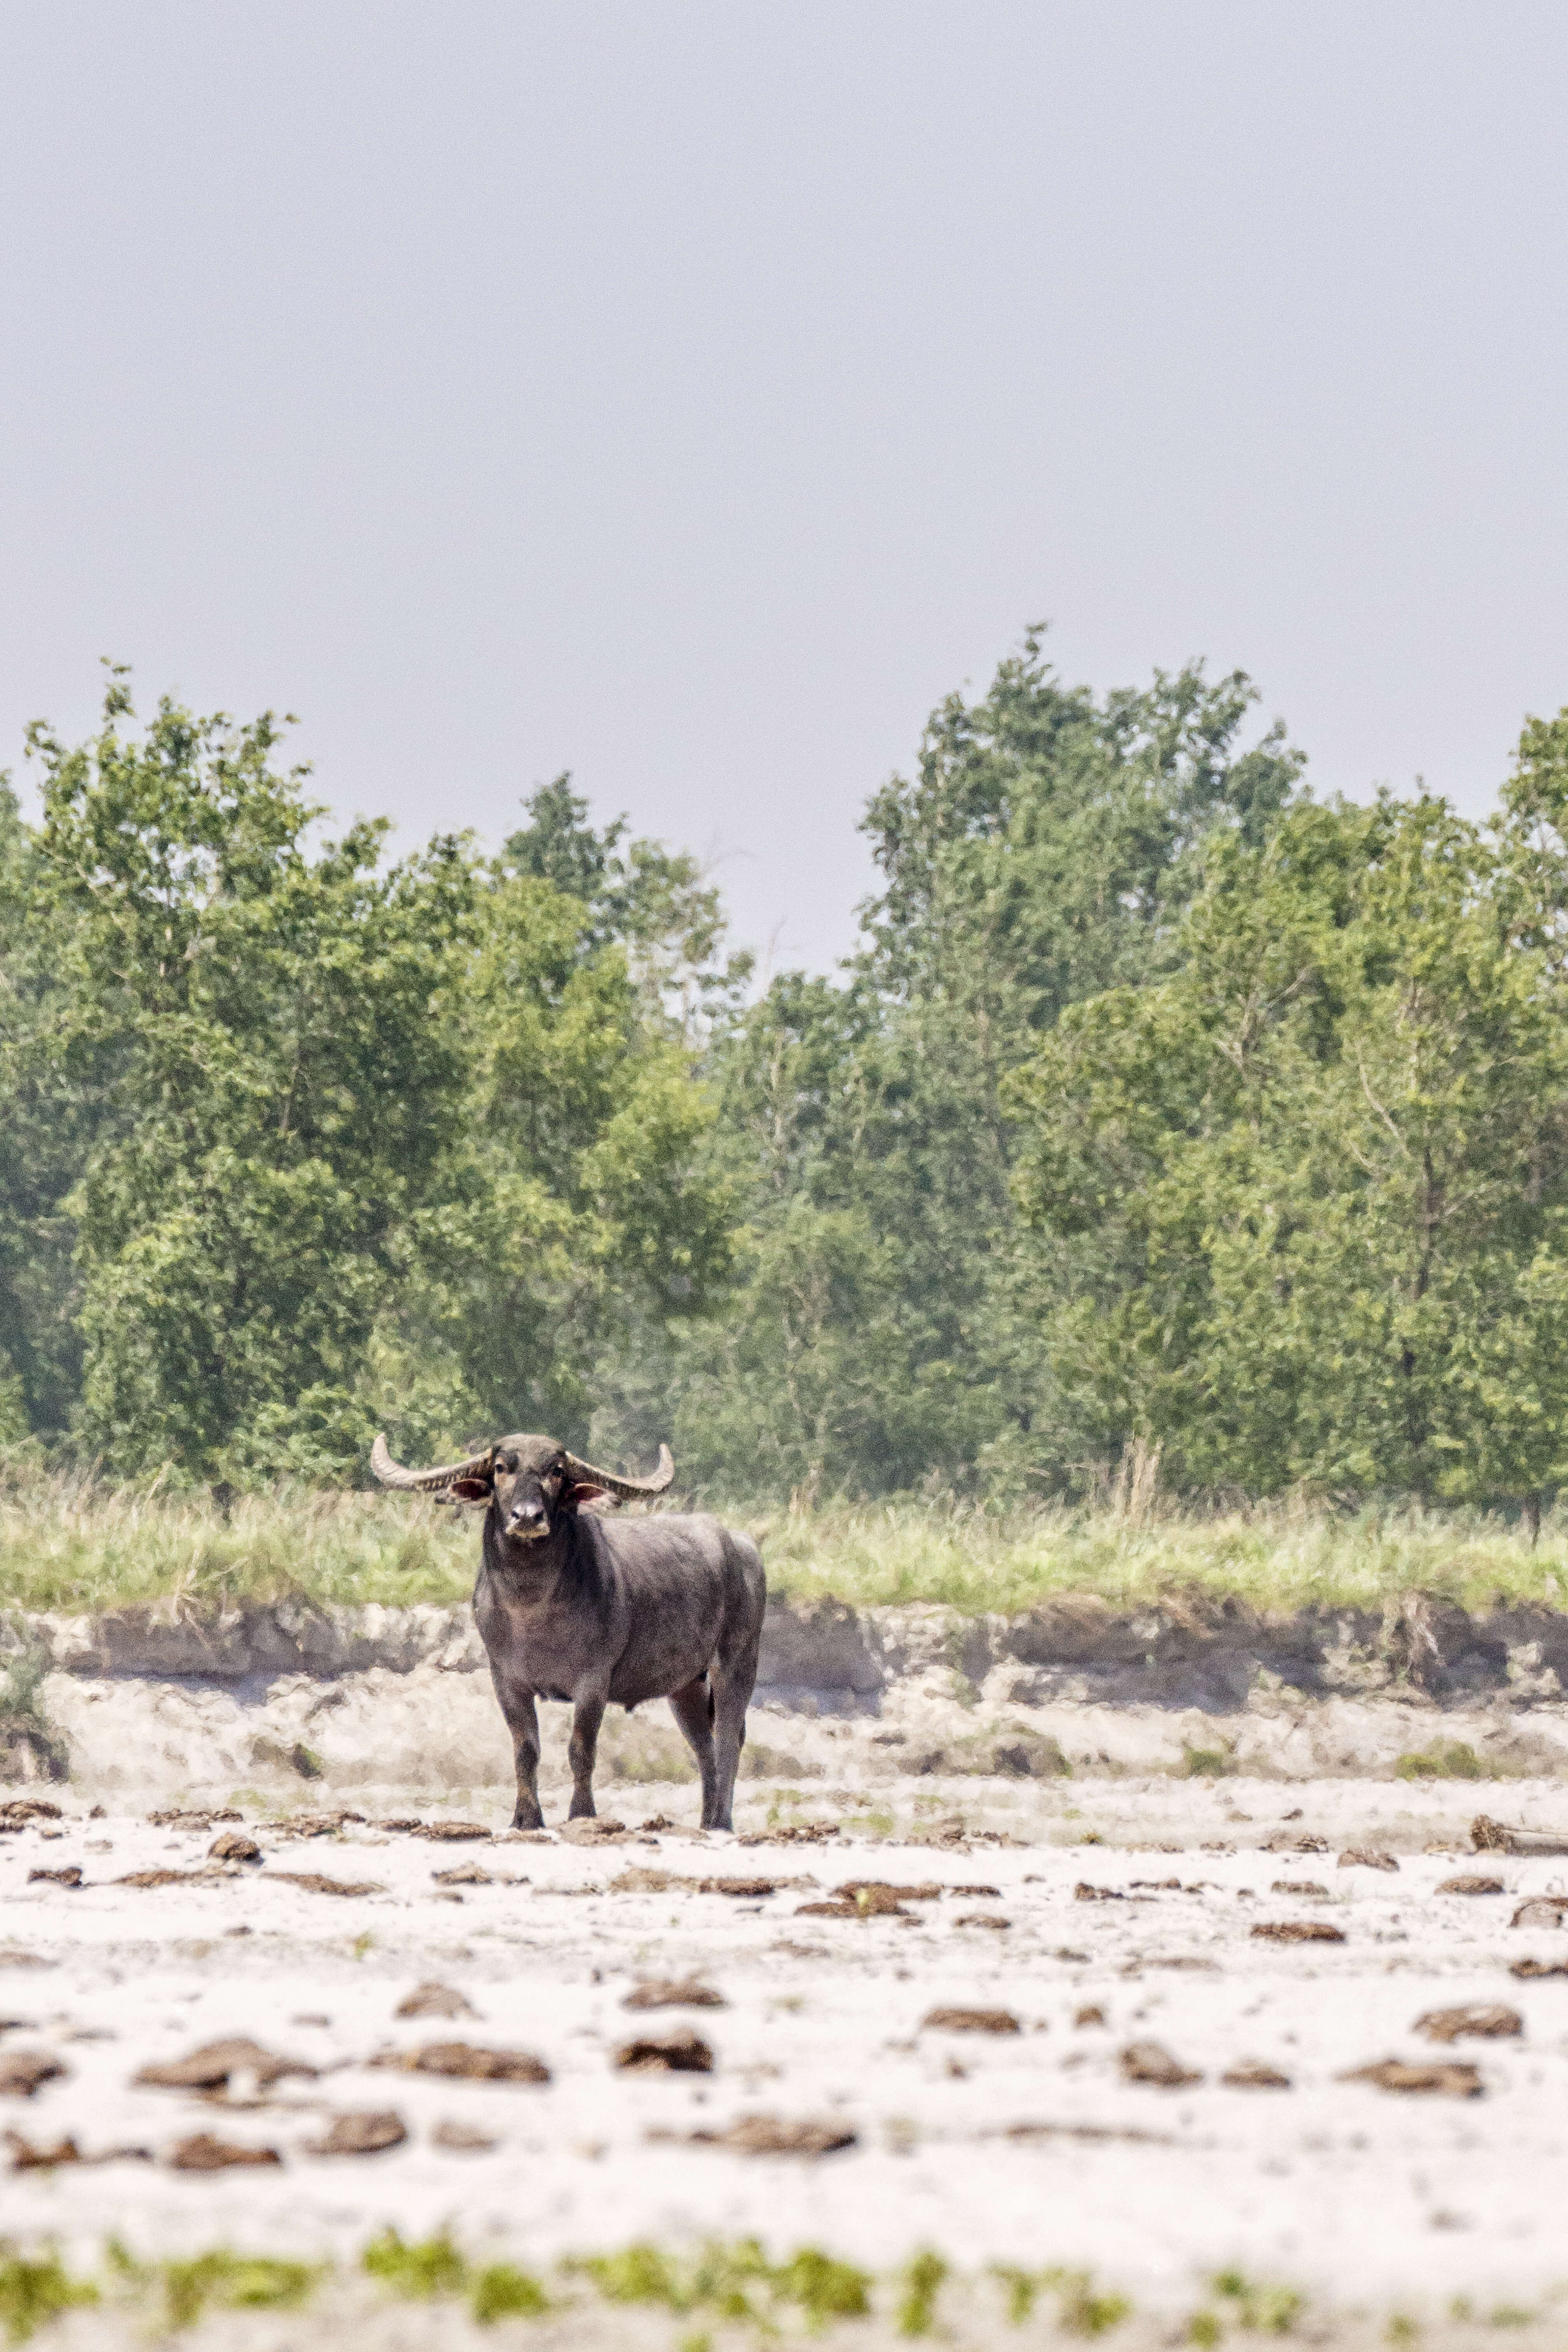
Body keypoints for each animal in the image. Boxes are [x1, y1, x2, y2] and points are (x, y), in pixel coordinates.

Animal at [364, 1430, 761, 1834]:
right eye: (501, 1468)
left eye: (556, 1471)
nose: (527, 1516)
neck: (532, 1609)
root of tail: (742, 1544)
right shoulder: (506, 1681)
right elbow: (526, 1750)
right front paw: (526, 1818)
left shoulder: (593, 1683)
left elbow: (580, 1750)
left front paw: (582, 1813)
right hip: (686, 1686)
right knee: (704, 1748)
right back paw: (707, 1822)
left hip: (737, 1664)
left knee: (728, 1740)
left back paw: (723, 1821)